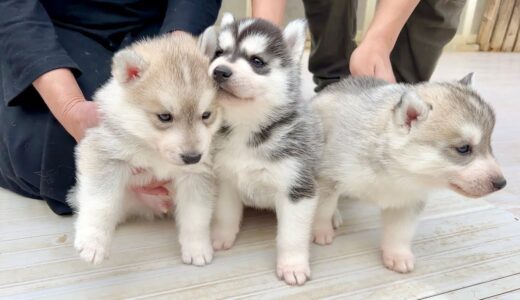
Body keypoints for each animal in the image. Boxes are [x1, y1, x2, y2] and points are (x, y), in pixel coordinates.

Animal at [201, 14, 322, 286]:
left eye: (256, 61)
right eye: (219, 53)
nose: (219, 71)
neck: (246, 128)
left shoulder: (297, 187)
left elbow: (291, 235)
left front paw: (292, 265)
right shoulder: (226, 178)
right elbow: (225, 213)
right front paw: (221, 236)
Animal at [310, 74, 506, 274]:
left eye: (489, 145)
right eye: (463, 148)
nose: (501, 183)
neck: (397, 172)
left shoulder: (408, 201)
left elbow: (400, 232)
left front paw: (398, 255)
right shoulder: (328, 177)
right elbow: (323, 209)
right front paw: (320, 231)